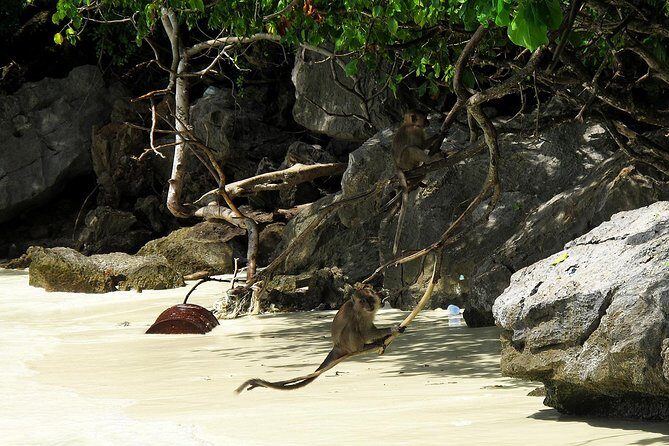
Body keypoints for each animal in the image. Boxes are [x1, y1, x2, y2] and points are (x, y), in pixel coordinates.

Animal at [235, 284, 404, 392]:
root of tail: (337, 346)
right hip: (347, 343)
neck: (361, 311)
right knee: (352, 329)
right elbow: (366, 332)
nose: (369, 305)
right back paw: (365, 347)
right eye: (362, 301)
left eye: (370, 299)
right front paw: (390, 330)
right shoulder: (359, 316)